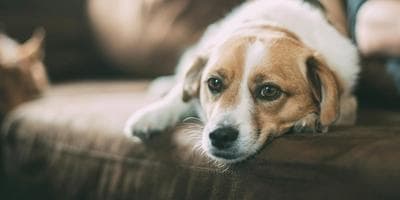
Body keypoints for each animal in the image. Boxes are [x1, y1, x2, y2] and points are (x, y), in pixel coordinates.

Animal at [124, 0, 360, 163]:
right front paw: (152, 115)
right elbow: (179, 97)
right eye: (214, 83)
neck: (270, 25)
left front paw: (310, 119)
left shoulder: (348, 101)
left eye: (269, 91)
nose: (220, 136)